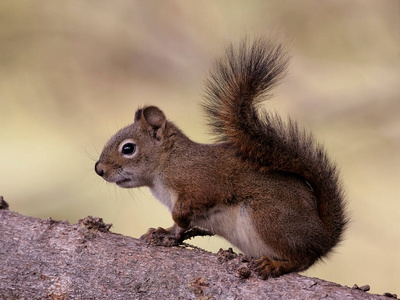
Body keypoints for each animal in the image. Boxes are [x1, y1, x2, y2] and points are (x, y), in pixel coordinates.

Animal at [94, 38, 346, 278]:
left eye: (128, 149)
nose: (99, 169)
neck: (168, 164)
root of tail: (323, 236)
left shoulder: (203, 182)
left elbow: (186, 208)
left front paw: (179, 221)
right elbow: (176, 227)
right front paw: (163, 231)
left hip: (269, 218)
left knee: (302, 258)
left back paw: (276, 265)